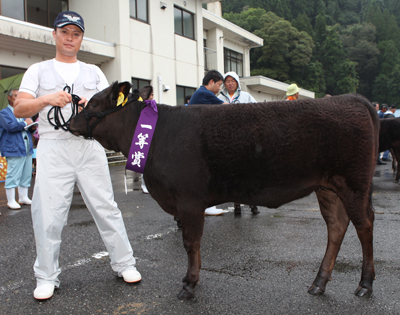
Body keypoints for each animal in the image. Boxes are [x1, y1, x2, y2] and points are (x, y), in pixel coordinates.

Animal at [70, 81, 380, 298]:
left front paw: (189, 284)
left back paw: (365, 284)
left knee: (364, 225)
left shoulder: (189, 200)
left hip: (353, 183)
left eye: (93, 103)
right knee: (336, 227)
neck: (159, 135)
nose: (70, 122)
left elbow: (191, 242)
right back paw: (319, 283)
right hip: (327, 187)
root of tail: (350, 98)